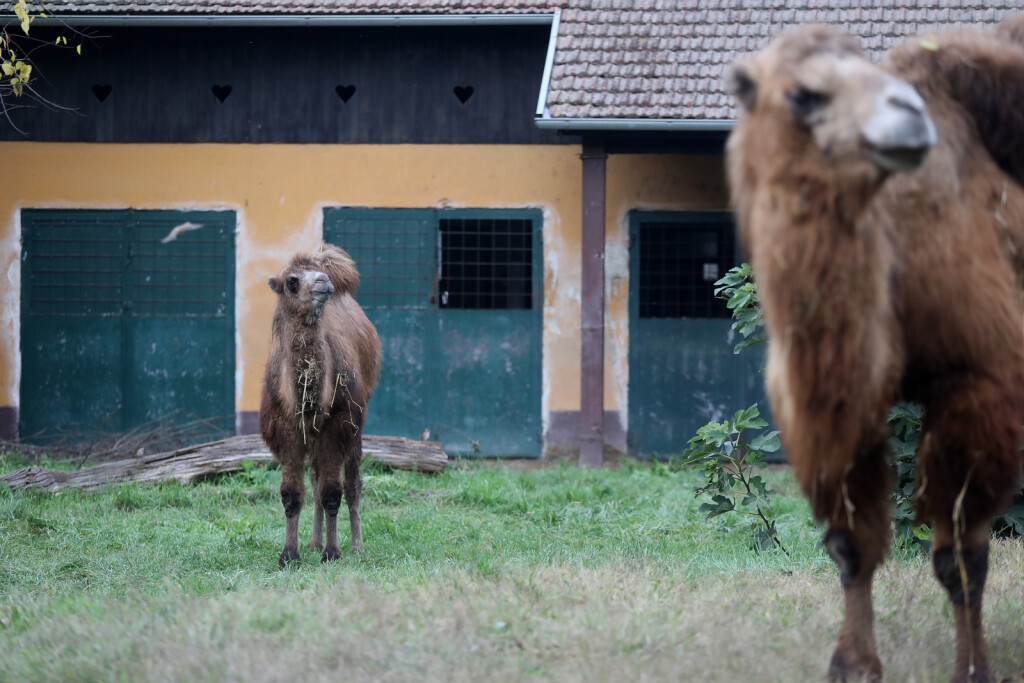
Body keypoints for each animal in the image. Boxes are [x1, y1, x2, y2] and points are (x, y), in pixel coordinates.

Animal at [260, 245, 380, 565]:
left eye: (318, 275)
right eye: (291, 281)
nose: (324, 281)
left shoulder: (339, 424)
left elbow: (332, 492)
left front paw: (333, 552)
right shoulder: (286, 428)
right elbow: (292, 493)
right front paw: (290, 554)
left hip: (357, 420)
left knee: (352, 482)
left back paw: (357, 545)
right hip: (312, 434)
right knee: (314, 479)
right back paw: (313, 542)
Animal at [724, 20, 1024, 683]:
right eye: (803, 94)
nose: (910, 116)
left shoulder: (982, 380)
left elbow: (961, 558)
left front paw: (973, 670)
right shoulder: (833, 408)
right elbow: (851, 545)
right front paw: (853, 663)